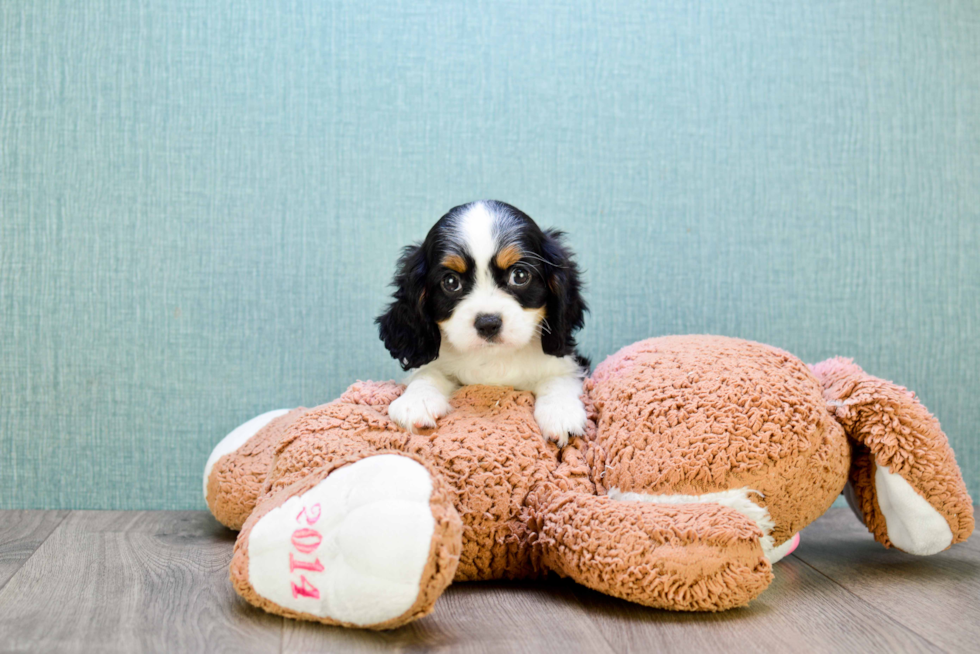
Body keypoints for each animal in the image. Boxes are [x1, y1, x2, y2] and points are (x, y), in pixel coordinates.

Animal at [376, 200, 588, 446]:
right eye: (451, 282)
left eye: (520, 275)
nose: (488, 323)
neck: (493, 357)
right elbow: (427, 371)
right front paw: (416, 401)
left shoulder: (570, 363)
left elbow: (558, 378)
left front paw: (561, 412)